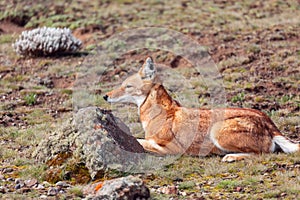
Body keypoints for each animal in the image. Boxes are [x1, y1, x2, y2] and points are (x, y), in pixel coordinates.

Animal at [102, 57, 298, 162]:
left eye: (127, 86)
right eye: (122, 85)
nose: (105, 96)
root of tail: (267, 121)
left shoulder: (170, 149)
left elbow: (139, 142)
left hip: (217, 131)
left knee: (264, 154)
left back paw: (231, 157)